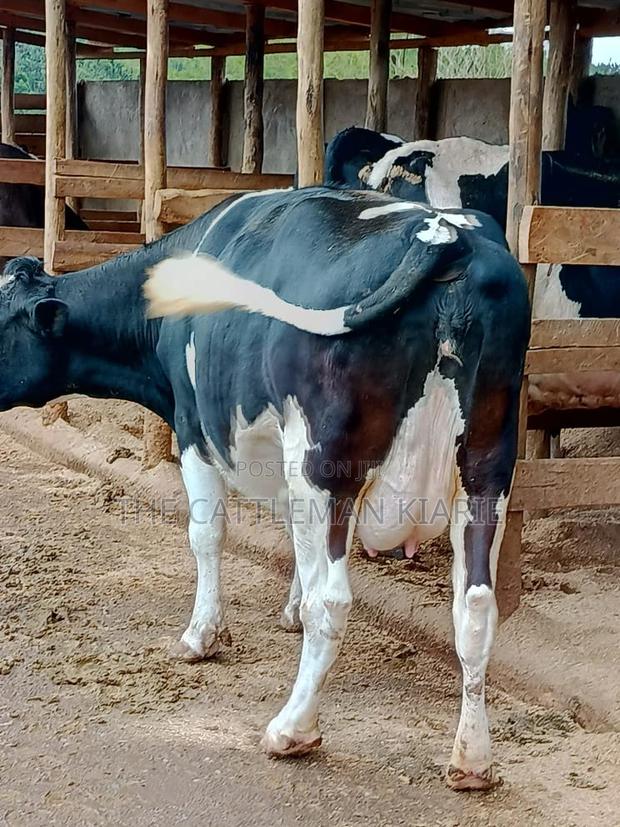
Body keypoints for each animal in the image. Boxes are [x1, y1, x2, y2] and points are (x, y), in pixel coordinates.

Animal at [2, 186, 529, 789]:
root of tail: (444, 233)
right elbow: (296, 545)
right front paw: (289, 611)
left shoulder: (193, 426)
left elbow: (207, 535)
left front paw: (201, 636)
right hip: (487, 468)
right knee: (476, 605)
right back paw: (473, 761)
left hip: (328, 463)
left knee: (336, 600)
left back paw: (292, 728)